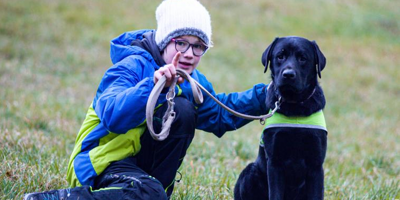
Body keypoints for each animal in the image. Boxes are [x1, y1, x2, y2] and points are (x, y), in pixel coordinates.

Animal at [234, 36, 328, 199]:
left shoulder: (316, 165)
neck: (294, 105)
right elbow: (275, 194)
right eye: (280, 56)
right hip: (249, 172)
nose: (288, 74)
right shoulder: (274, 162)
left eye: (303, 58)